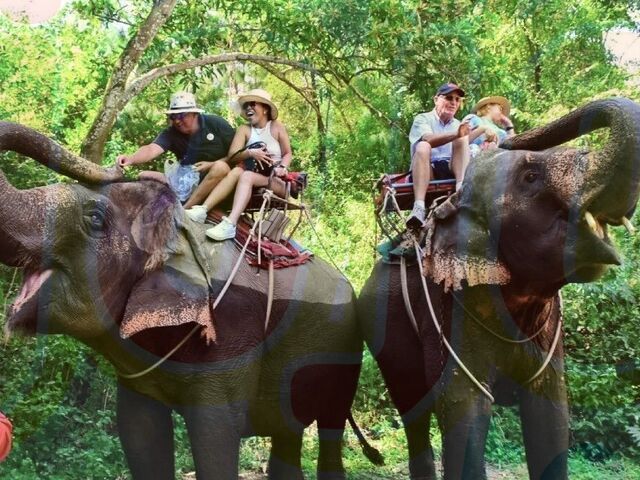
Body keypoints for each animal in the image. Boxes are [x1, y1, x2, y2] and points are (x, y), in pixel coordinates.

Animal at [0, 122, 366, 480]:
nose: (119, 163)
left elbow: (215, 437)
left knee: (330, 429)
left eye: (95, 219)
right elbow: (140, 434)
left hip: (347, 353)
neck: (178, 233)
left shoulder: (232, 339)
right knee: (288, 435)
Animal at [358, 98, 640, 479]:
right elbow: (463, 405)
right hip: (382, 328)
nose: (503, 131)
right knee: (413, 409)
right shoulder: (450, 308)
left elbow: (552, 412)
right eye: (530, 177)